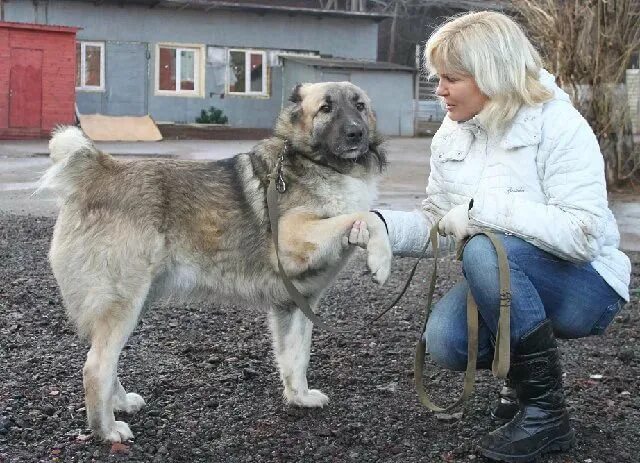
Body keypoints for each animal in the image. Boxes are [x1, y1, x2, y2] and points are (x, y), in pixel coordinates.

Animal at [40, 81, 392, 444]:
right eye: (326, 108)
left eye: (360, 106)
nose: (356, 133)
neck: (321, 163)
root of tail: (98, 170)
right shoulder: (291, 239)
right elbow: (370, 216)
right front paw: (382, 259)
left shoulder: (296, 304)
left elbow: (296, 358)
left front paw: (299, 397)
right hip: (123, 304)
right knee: (96, 367)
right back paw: (107, 429)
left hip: (135, 301)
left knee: (104, 361)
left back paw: (120, 404)